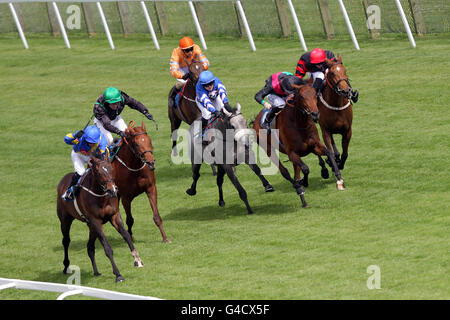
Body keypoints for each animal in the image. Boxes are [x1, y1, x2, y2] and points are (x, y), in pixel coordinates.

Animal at [56, 151, 143, 282]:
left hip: (90, 225)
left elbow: (127, 236)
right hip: (66, 220)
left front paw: (137, 260)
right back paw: (66, 267)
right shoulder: (96, 220)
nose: (112, 190)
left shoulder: (114, 216)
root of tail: (62, 181)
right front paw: (118, 275)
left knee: (90, 247)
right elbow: (107, 248)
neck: (102, 197)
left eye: (111, 169)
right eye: (98, 172)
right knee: (66, 241)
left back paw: (96, 272)